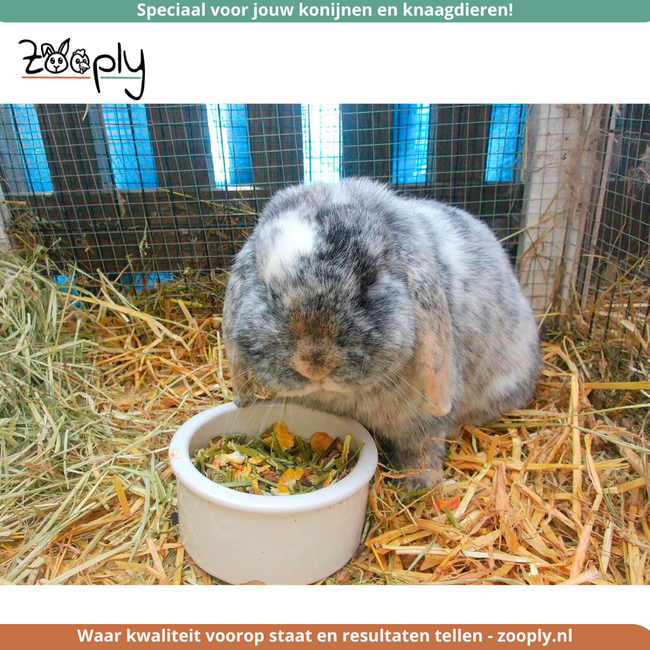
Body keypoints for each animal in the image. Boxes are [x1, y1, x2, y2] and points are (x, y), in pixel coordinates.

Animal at [222, 178, 542, 488]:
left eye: (370, 279)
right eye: (268, 289)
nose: (315, 364)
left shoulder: (422, 422)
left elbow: (422, 448)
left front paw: (418, 484)